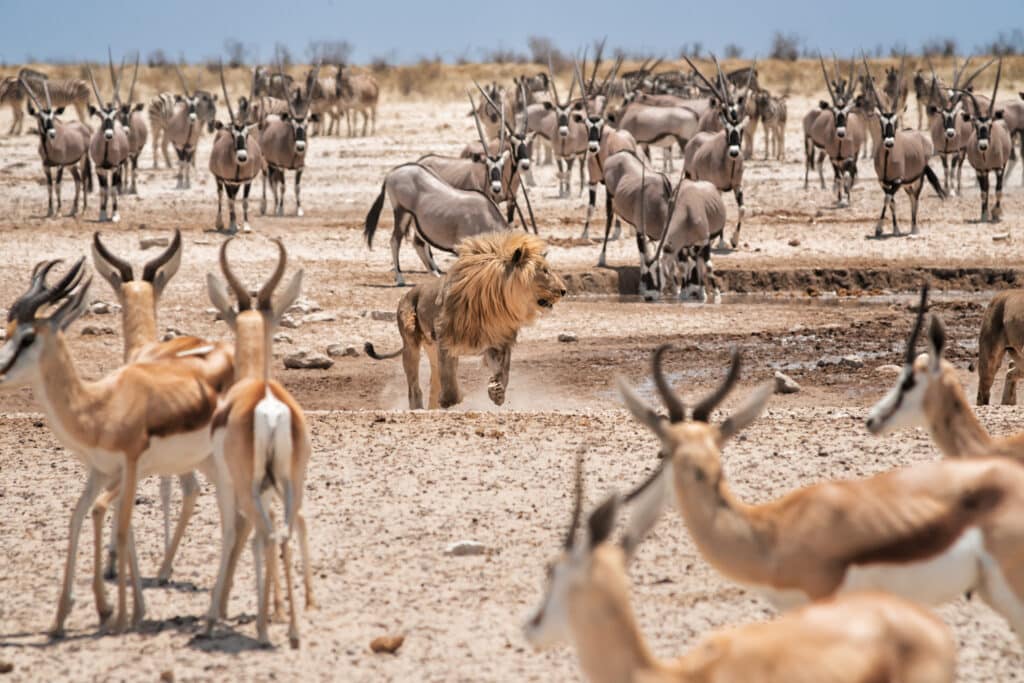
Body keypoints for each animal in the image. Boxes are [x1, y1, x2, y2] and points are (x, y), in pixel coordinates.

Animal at [364, 232, 569, 409]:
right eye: (544, 271)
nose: (564, 291)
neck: (498, 305)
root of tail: (408, 293)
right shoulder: (446, 340)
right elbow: (450, 382)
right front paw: (453, 399)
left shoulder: (496, 343)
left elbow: (504, 371)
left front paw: (497, 391)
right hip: (411, 343)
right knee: (415, 387)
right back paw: (420, 408)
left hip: (432, 349)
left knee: (434, 381)